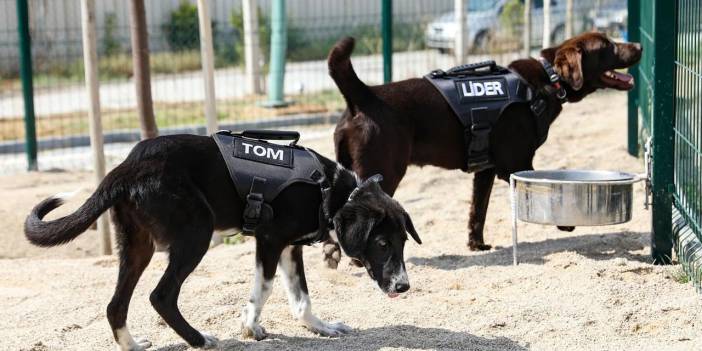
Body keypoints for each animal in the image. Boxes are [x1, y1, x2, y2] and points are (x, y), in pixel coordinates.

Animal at [26, 133, 424, 350]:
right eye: (382, 244)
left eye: (403, 243)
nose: (403, 287)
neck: (332, 191)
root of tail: (127, 167)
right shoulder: (269, 240)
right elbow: (263, 290)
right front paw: (249, 325)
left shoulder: (290, 248)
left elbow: (301, 299)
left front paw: (320, 328)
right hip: (196, 233)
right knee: (160, 295)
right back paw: (199, 340)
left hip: (138, 247)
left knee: (115, 305)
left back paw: (133, 345)